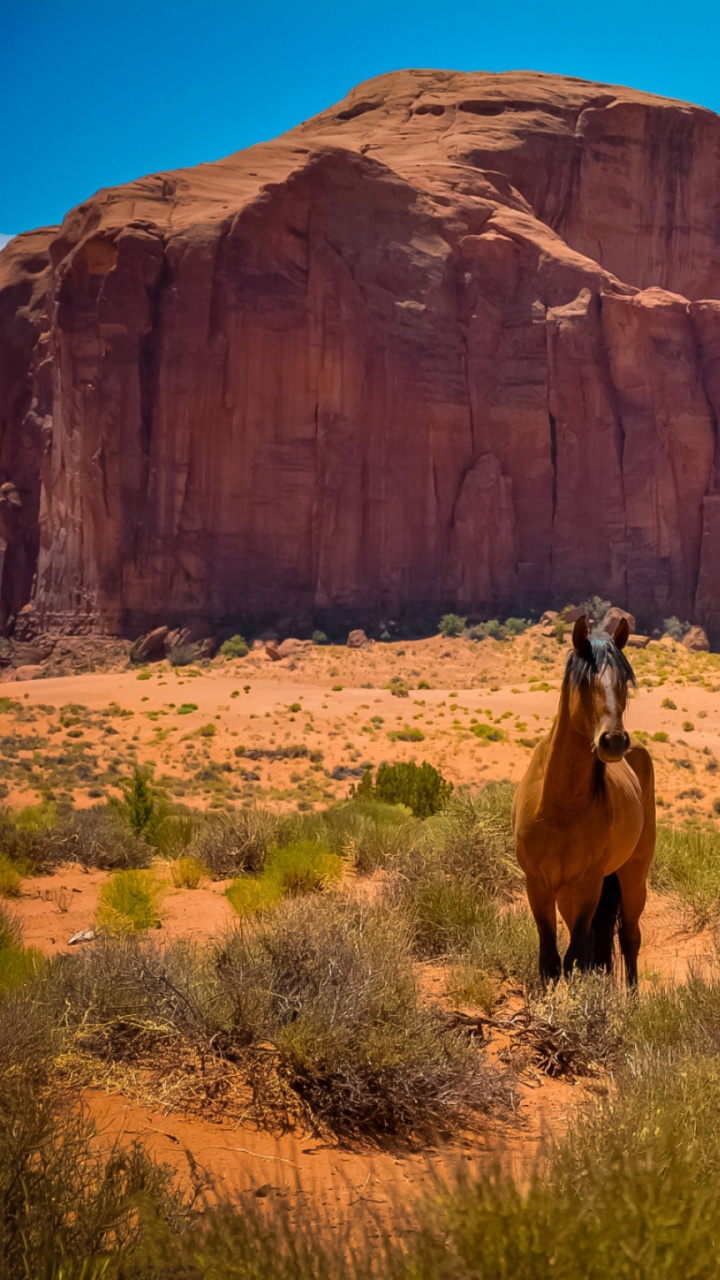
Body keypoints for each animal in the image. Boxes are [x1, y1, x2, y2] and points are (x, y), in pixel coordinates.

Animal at [513, 615, 655, 985]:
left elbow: (575, 957)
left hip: (633, 874)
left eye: (624, 682)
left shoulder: (589, 883)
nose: (614, 741)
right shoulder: (539, 885)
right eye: (586, 682)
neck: (560, 806)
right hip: (568, 893)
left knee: (629, 937)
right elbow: (550, 962)